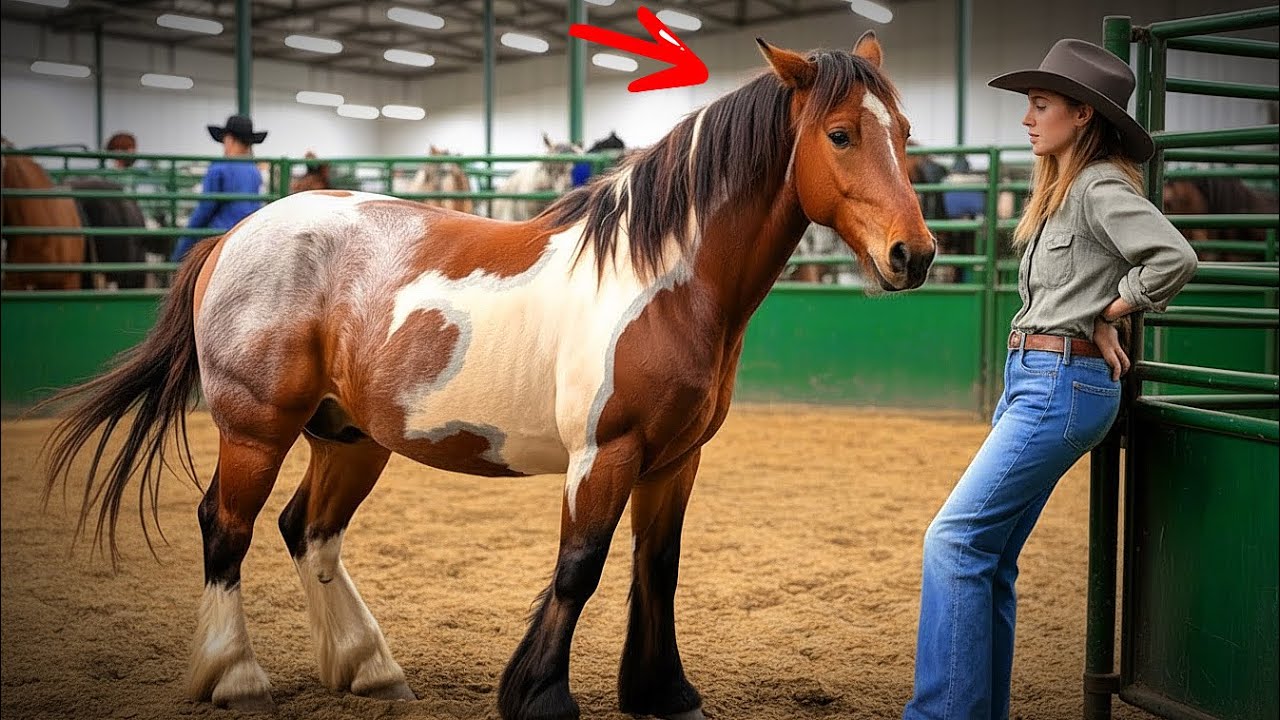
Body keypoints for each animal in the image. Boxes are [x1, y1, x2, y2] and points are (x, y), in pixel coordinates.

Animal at [36, 33, 933, 720]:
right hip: (256, 429)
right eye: (841, 134)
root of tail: (233, 238)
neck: (663, 278)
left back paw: (367, 666)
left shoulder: (676, 459)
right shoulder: (604, 455)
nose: (915, 255)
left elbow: (659, 567)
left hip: (349, 436)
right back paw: (236, 677)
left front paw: (662, 691)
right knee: (227, 527)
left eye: (905, 131)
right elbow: (581, 567)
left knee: (308, 530)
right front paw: (541, 696)